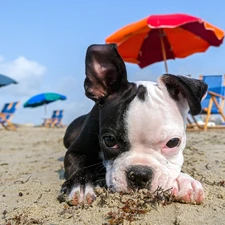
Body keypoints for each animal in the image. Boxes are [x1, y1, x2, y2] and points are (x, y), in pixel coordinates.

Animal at [59, 43, 207, 205]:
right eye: (109, 140)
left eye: (173, 143)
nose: (139, 174)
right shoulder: (76, 151)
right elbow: (80, 165)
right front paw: (83, 183)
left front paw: (183, 181)